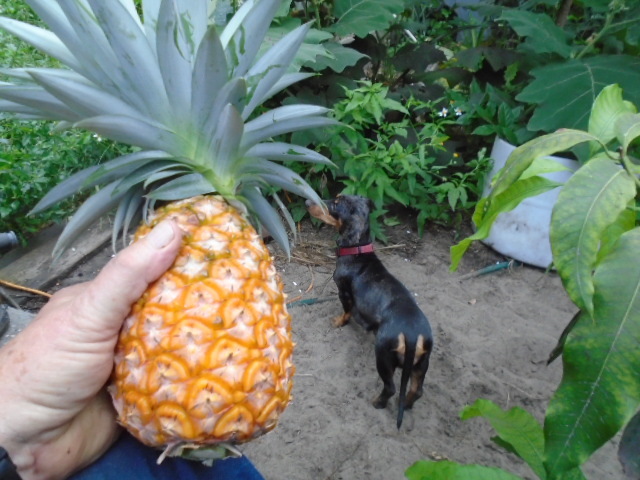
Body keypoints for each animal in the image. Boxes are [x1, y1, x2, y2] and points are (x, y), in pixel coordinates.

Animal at [307, 195, 433, 428]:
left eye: (335, 203)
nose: (307, 201)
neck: (358, 251)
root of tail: (411, 334)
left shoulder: (344, 293)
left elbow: (346, 312)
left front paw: (338, 322)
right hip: (421, 363)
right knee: (416, 390)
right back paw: (406, 405)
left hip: (383, 356)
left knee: (391, 388)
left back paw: (377, 403)